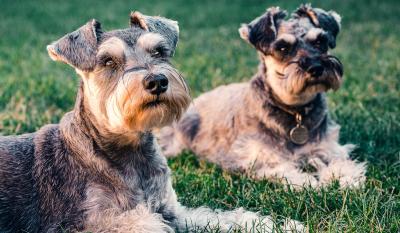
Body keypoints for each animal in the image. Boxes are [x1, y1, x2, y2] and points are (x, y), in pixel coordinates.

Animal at [0, 11, 304, 233]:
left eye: (158, 51)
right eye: (108, 61)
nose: (157, 81)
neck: (128, 151)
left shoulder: (172, 210)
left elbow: (222, 218)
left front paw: (280, 225)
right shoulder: (97, 223)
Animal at [159, 4, 366, 188]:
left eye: (319, 41)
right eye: (283, 48)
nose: (316, 68)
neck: (295, 111)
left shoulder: (328, 147)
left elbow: (341, 163)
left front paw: (346, 179)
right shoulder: (261, 157)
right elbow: (287, 170)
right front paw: (310, 183)